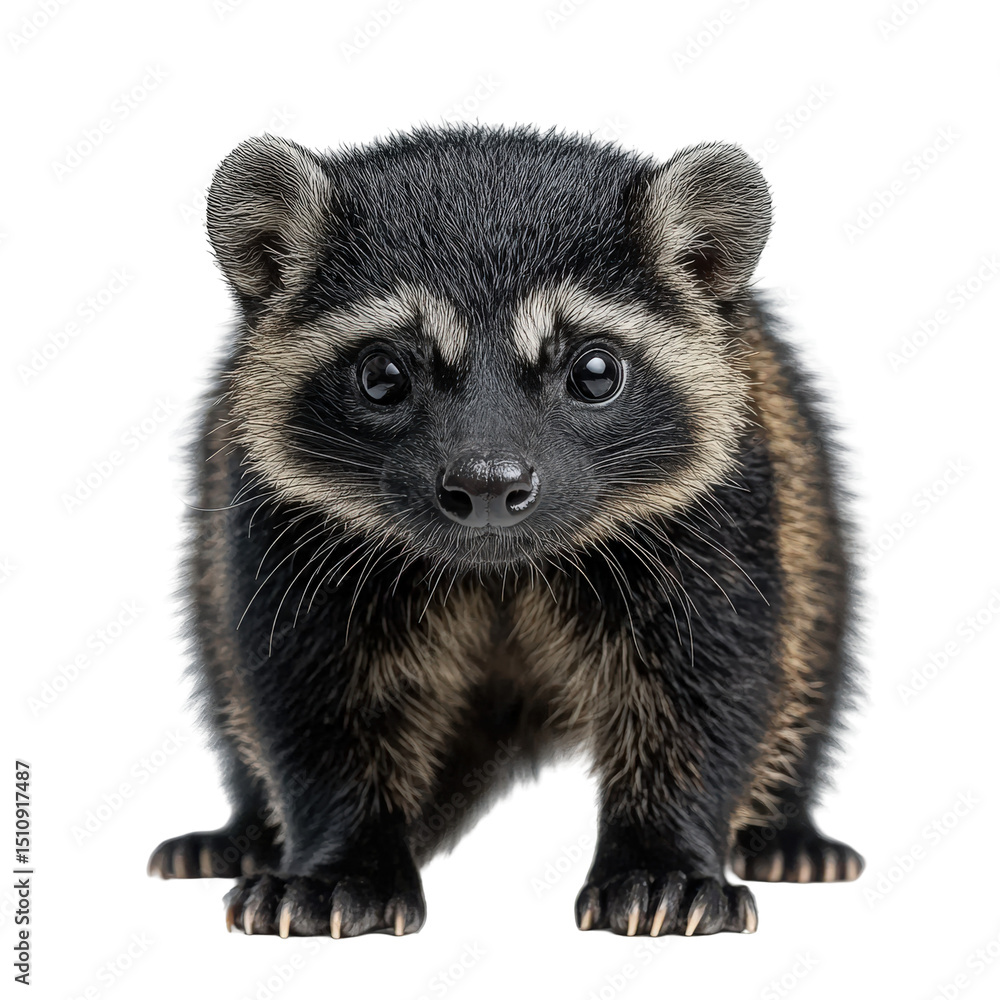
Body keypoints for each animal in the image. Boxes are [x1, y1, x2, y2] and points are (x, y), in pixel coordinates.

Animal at [148, 125, 863, 939]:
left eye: (594, 371)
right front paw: (342, 856)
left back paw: (786, 825)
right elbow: (311, 693)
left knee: (810, 654)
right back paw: (247, 827)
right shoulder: (282, 525)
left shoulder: (722, 512)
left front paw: (664, 853)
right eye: (382, 375)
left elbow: (709, 686)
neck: (498, 566)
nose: (488, 486)